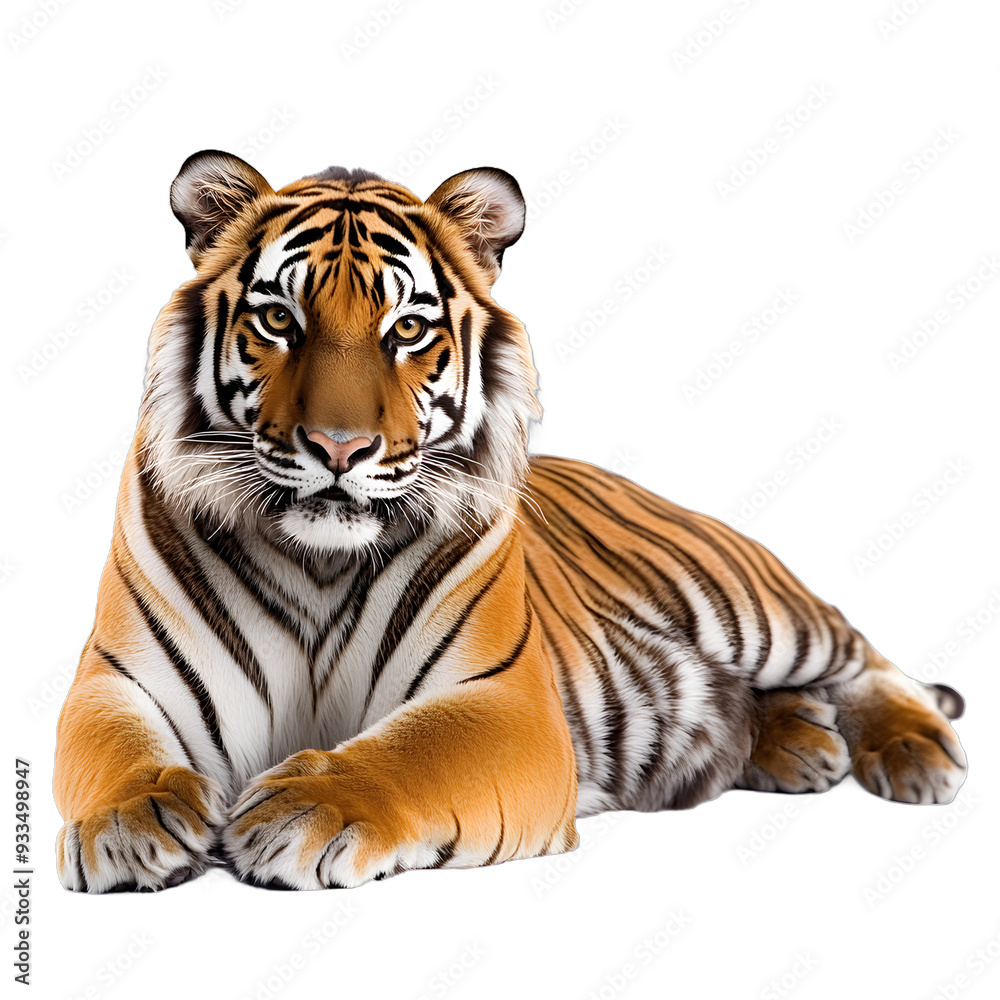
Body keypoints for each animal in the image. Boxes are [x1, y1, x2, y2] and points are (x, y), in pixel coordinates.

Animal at [53, 150, 968, 893]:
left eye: (407, 329)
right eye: (280, 319)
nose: (340, 448)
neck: (319, 560)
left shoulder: (501, 700)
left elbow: (405, 752)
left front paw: (303, 809)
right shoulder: (118, 680)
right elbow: (114, 752)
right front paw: (129, 822)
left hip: (751, 605)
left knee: (864, 654)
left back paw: (916, 754)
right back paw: (801, 744)